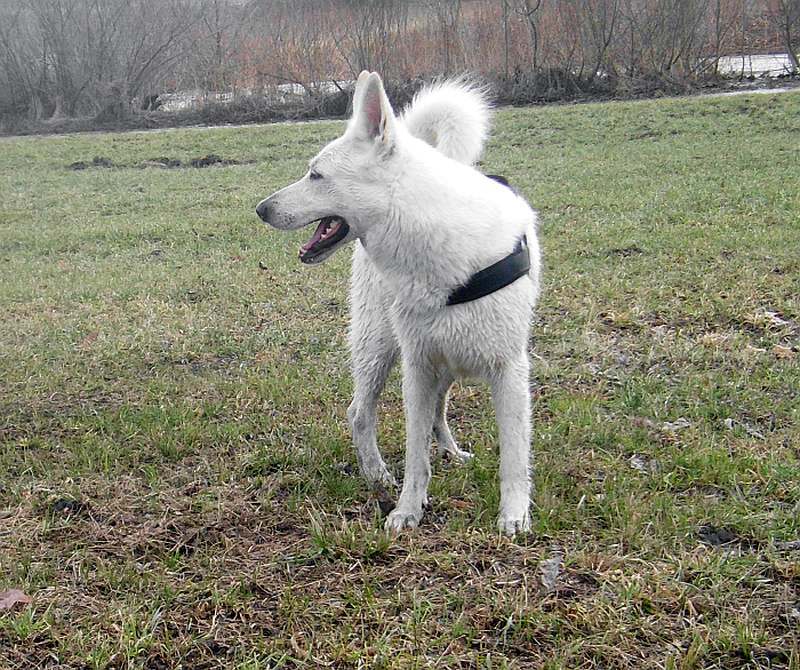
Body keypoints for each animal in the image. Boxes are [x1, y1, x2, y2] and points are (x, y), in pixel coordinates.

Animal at [260, 71, 540, 540]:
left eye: (316, 175)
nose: (261, 209)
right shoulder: (417, 368)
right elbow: (414, 457)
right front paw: (408, 510)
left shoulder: (507, 372)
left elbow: (514, 458)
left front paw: (514, 515)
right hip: (380, 350)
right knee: (359, 413)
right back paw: (376, 474)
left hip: (436, 363)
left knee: (438, 413)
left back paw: (452, 453)